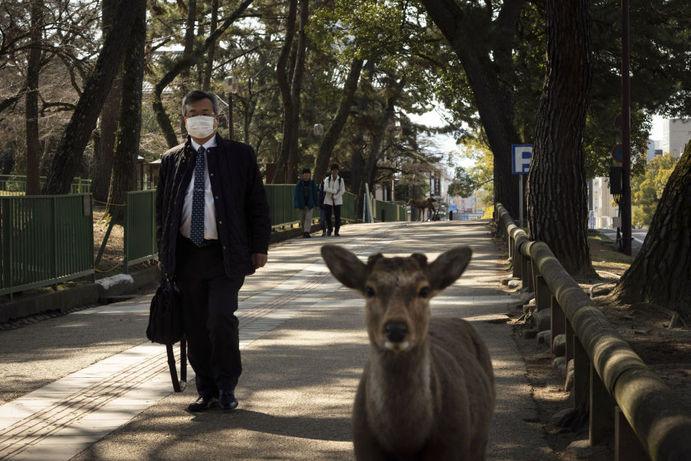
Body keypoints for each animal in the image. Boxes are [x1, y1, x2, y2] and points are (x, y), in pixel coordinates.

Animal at [322, 244, 494, 460]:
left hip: (482, 440)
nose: (396, 329)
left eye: (424, 290)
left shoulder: (454, 446)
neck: (404, 443)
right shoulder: (363, 449)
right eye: (369, 290)